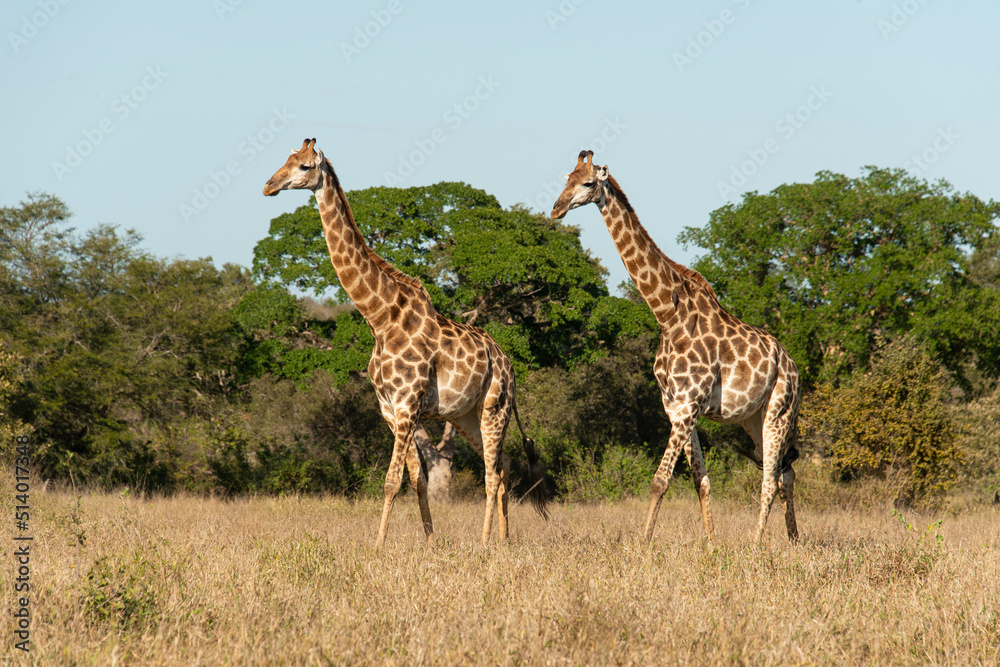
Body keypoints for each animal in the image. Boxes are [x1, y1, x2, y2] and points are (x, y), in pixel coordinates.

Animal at [264, 139, 548, 547]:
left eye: (303, 166)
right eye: (284, 160)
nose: (269, 186)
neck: (381, 320)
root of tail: (508, 364)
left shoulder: (408, 405)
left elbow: (391, 481)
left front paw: (378, 546)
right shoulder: (389, 408)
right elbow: (417, 479)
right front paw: (429, 542)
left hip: (496, 408)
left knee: (492, 474)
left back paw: (484, 544)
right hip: (466, 416)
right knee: (503, 464)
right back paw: (504, 540)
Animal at [551, 150, 800, 544]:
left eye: (588, 182)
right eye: (565, 179)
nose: (556, 209)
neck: (667, 314)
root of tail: (791, 364)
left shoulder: (689, 404)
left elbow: (659, 480)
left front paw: (642, 545)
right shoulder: (675, 406)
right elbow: (702, 480)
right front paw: (711, 544)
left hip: (781, 410)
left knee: (770, 480)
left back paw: (757, 544)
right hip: (753, 417)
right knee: (785, 473)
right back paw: (793, 540)